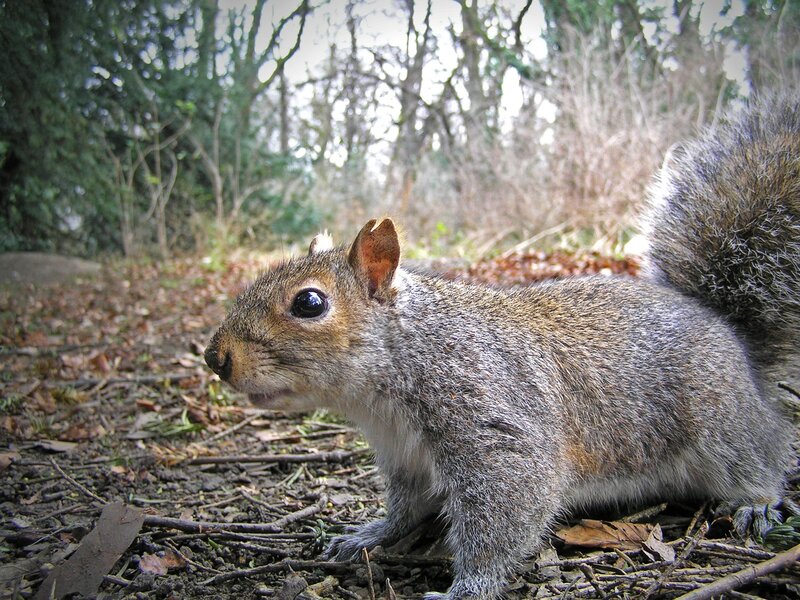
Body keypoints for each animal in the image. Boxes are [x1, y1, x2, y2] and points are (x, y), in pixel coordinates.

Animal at [205, 93, 799, 600]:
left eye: (309, 303)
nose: (216, 358)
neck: (399, 366)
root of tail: (729, 333)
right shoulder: (405, 455)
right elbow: (406, 508)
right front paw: (370, 534)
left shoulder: (494, 423)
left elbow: (505, 513)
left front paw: (466, 589)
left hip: (720, 419)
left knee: (762, 455)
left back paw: (756, 502)